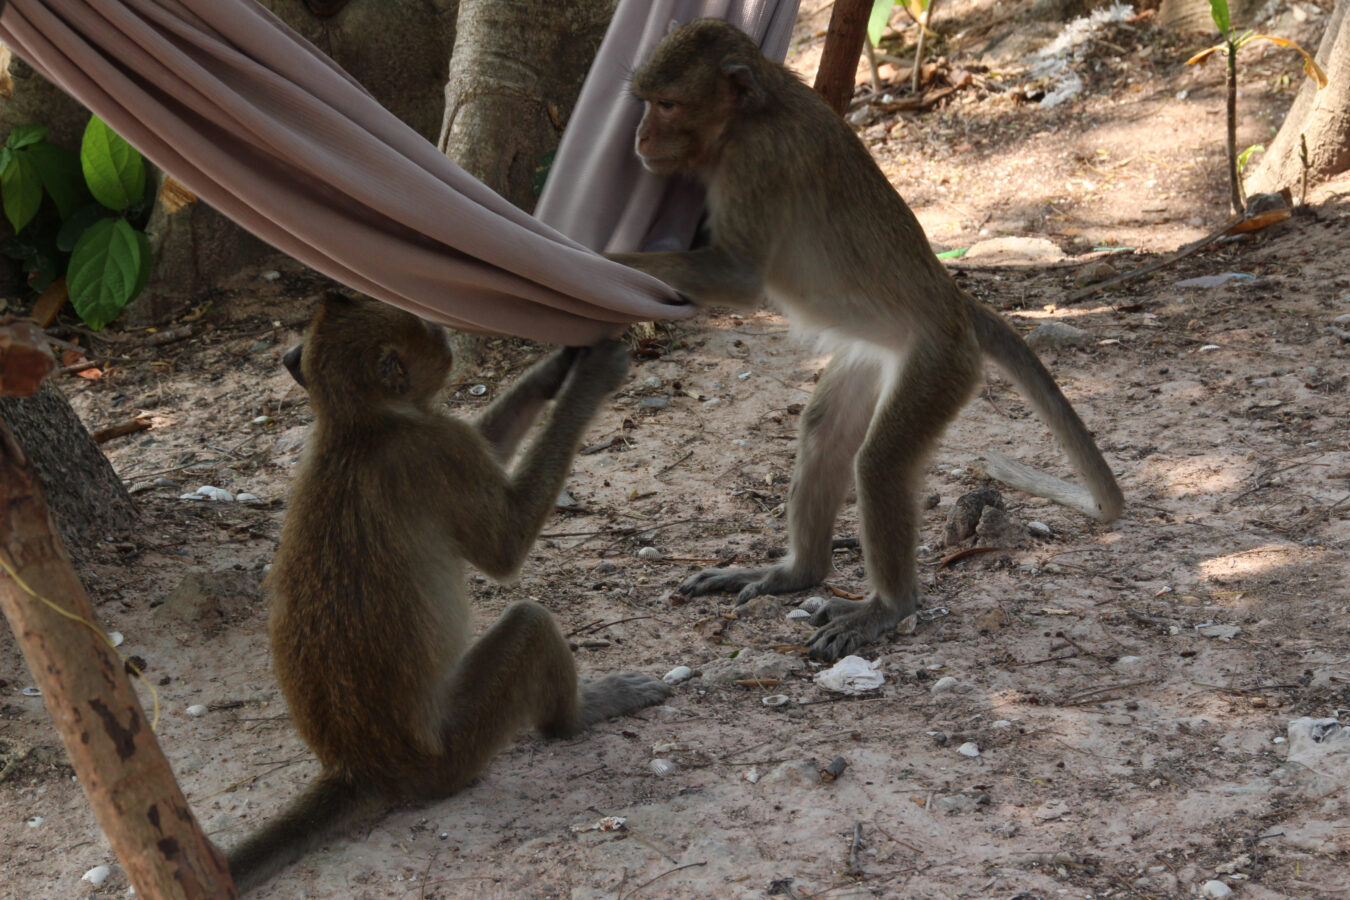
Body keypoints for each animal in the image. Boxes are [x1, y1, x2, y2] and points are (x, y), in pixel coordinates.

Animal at [226, 296, 669, 895]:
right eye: (429, 332)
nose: (446, 332)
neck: (354, 421)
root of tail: (361, 767)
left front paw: (553, 371)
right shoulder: (436, 447)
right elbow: (505, 547)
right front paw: (589, 380)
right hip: (454, 749)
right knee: (530, 624)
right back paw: (577, 717)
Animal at [610, 17, 1117, 658]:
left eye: (667, 104)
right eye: (647, 102)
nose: (640, 137)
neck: (752, 112)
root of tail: (956, 304)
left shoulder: (758, 161)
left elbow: (738, 277)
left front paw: (592, 257)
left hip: (940, 364)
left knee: (879, 463)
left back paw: (888, 607)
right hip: (875, 356)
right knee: (825, 432)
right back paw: (797, 572)